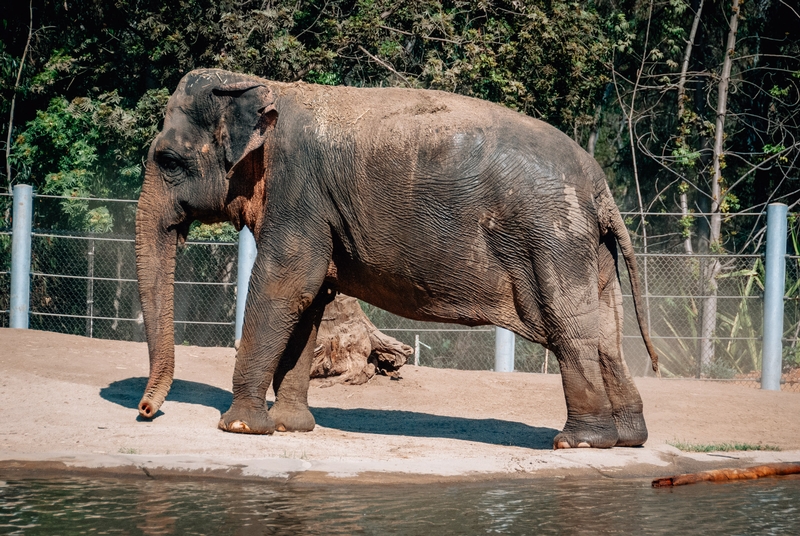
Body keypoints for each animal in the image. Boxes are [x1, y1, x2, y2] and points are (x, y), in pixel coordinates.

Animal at [138, 69, 660, 450]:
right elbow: (311, 298)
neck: (261, 85)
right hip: (589, 247)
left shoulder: (298, 192)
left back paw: (578, 443)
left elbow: (286, 286)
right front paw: (290, 426)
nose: (146, 412)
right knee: (607, 332)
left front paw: (241, 427)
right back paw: (627, 439)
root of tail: (601, 188)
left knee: (570, 328)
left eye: (168, 161)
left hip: (553, 238)